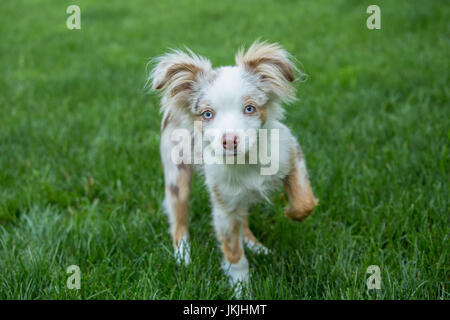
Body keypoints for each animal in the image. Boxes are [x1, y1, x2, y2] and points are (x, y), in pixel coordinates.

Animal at [148, 40, 316, 296]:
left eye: (250, 109)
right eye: (207, 114)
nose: (229, 141)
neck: (247, 161)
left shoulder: (291, 154)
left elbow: (305, 202)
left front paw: (291, 213)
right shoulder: (223, 208)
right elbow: (234, 255)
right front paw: (242, 291)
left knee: (242, 218)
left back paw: (255, 245)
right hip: (177, 175)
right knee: (178, 217)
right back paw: (183, 256)